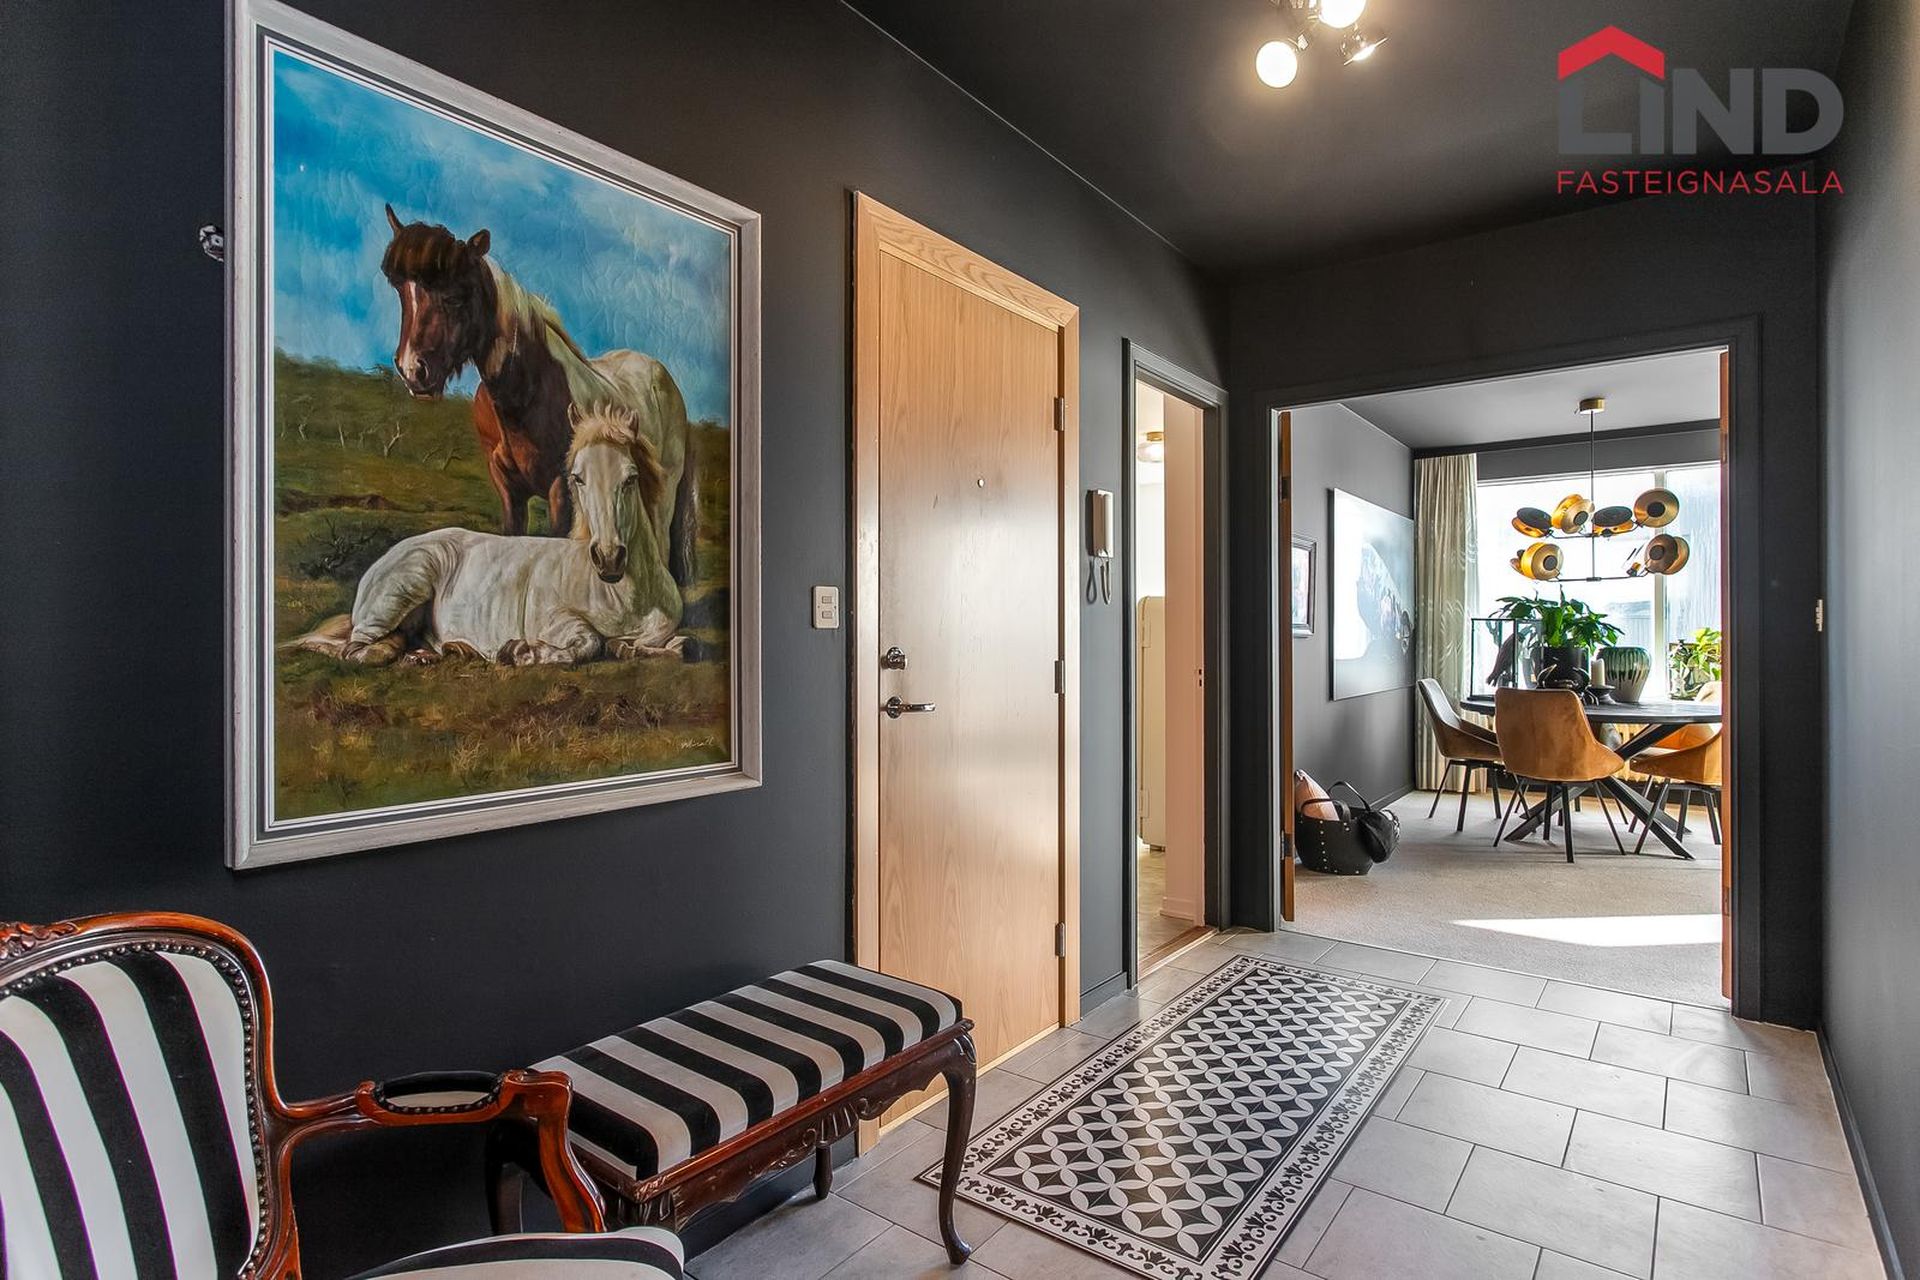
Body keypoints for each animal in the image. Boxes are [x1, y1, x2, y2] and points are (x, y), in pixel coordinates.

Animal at [289, 405, 686, 667]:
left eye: (631, 478)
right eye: (578, 477)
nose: (608, 558)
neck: (624, 597)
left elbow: (677, 646)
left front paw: (632, 648)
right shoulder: (553, 619)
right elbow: (590, 641)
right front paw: (521, 652)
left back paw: (442, 651)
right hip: (397, 596)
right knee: (357, 649)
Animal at [379, 204, 699, 591]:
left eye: (456, 296)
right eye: (401, 292)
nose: (413, 370)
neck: (528, 392)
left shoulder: (561, 490)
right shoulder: (507, 489)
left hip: (663, 494)